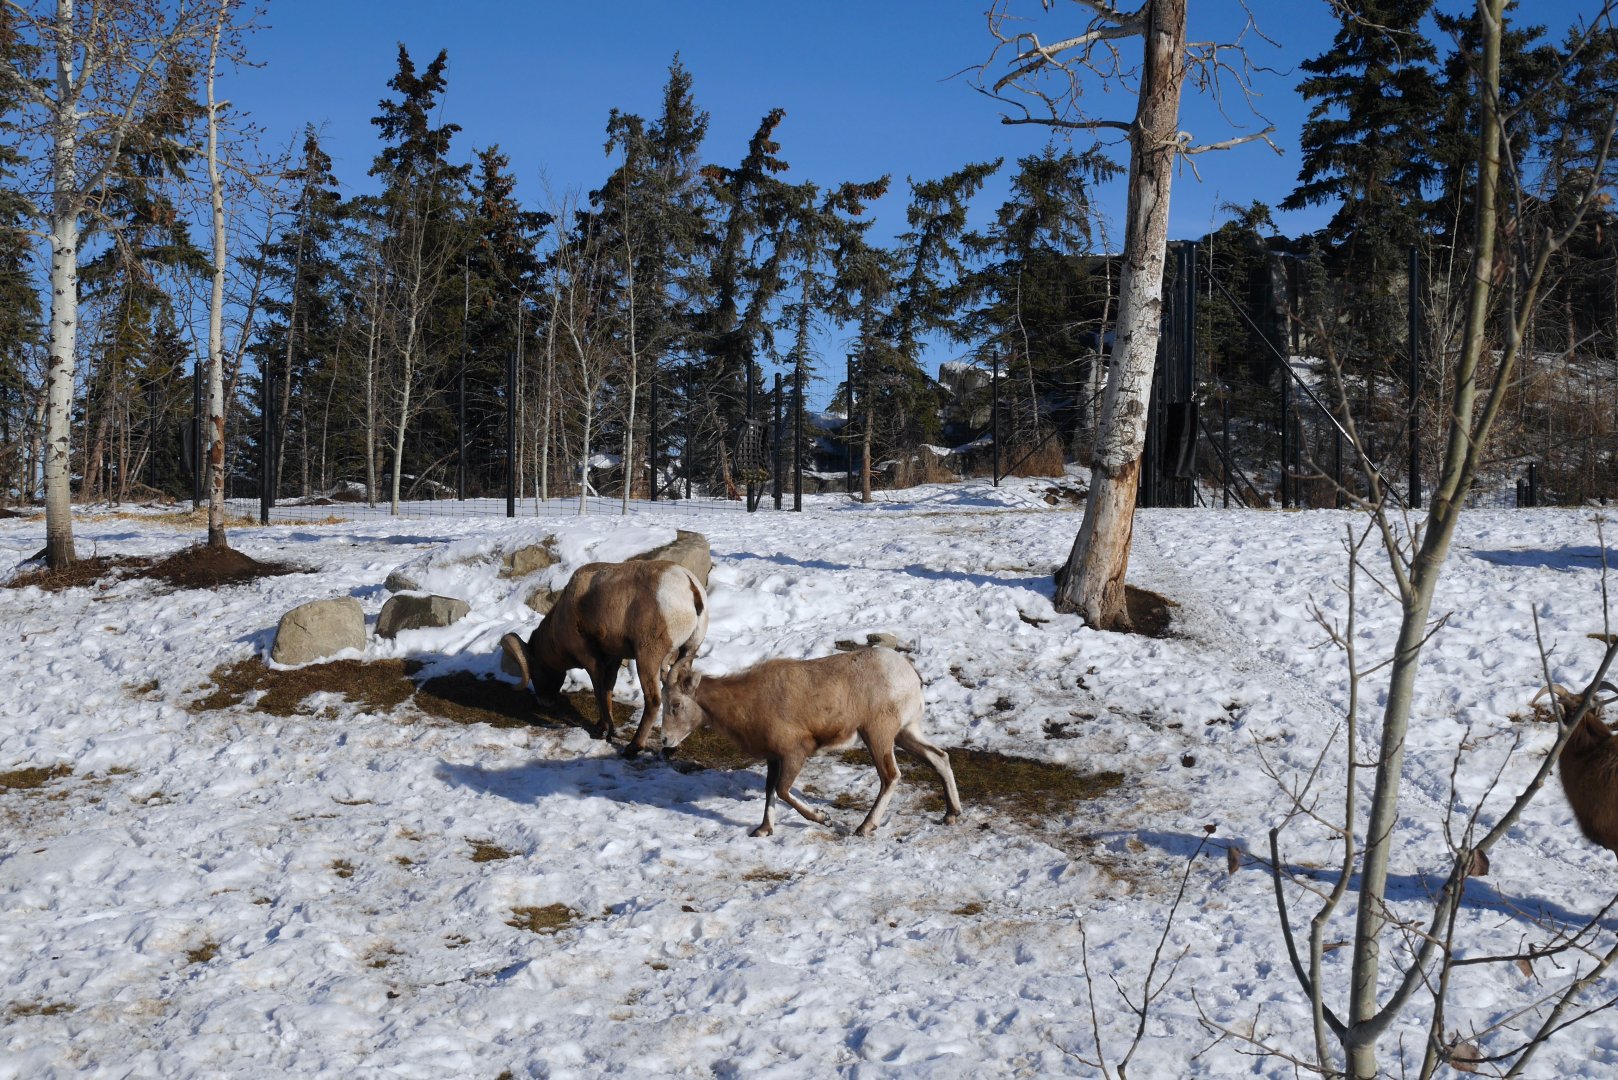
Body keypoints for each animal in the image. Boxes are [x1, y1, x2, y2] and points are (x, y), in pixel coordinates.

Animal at [500, 559, 707, 757]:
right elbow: (607, 690)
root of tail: (689, 586)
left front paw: (604, 730)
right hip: (687, 652)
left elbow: (599, 691)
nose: (544, 701)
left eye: (535, 671)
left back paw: (633, 748)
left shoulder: (590, 659)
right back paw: (671, 749)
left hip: (647, 659)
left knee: (653, 701)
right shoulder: (613, 659)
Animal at [660, 646, 963, 837]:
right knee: (939, 757)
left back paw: (864, 828)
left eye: (676, 704)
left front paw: (823, 818)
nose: (665, 739)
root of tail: (910, 676)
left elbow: (782, 790)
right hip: (905, 733)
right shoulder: (774, 758)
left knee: (890, 775)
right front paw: (763, 830)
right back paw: (951, 814)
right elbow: (770, 790)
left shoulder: (795, 753)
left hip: (878, 735)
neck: (751, 700)